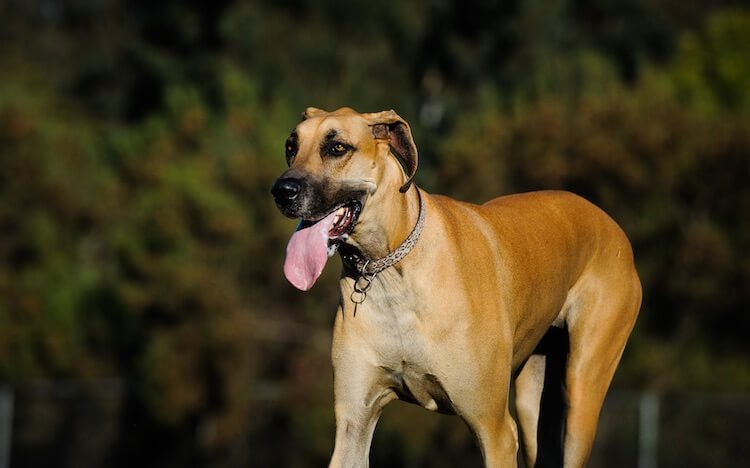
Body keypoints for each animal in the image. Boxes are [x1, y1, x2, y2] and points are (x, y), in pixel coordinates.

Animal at [270, 108, 640, 466]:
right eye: (291, 147)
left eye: (337, 148)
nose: (281, 191)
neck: (389, 271)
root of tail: (611, 225)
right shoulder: (354, 425)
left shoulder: (495, 431)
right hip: (532, 401)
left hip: (582, 390)